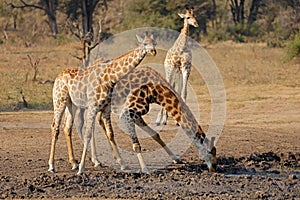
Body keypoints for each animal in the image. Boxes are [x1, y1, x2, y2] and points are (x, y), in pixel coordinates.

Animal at [47, 33, 157, 174]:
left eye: (154, 42)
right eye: (144, 43)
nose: (153, 51)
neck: (110, 78)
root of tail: (57, 78)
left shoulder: (106, 108)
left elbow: (110, 134)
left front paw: (123, 164)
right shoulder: (93, 107)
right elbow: (88, 134)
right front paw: (82, 168)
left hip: (71, 104)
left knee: (67, 127)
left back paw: (73, 163)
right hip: (59, 101)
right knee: (55, 127)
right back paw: (52, 165)